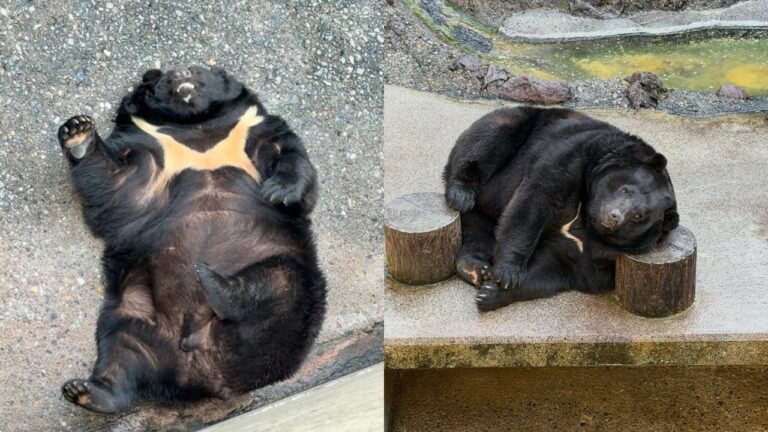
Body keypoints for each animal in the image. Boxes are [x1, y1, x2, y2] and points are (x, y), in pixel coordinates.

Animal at [58, 66, 326, 413]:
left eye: (200, 71)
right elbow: (114, 184)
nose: (181, 74)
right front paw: (77, 132)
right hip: (133, 318)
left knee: (278, 284)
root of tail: (207, 371)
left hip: (301, 291)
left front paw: (278, 191)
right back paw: (86, 391)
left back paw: (211, 279)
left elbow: (292, 156)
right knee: (119, 352)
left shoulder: (253, 129)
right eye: (162, 79)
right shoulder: (149, 150)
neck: (196, 128)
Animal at [443, 107, 678, 312]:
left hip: (483, 217)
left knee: (478, 233)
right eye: (624, 189)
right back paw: (461, 194)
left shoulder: (600, 255)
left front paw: (491, 292)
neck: (586, 218)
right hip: (515, 125)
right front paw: (508, 272)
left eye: (638, 216)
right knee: (488, 139)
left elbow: (554, 269)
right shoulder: (575, 158)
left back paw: (476, 269)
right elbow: (534, 202)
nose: (614, 217)